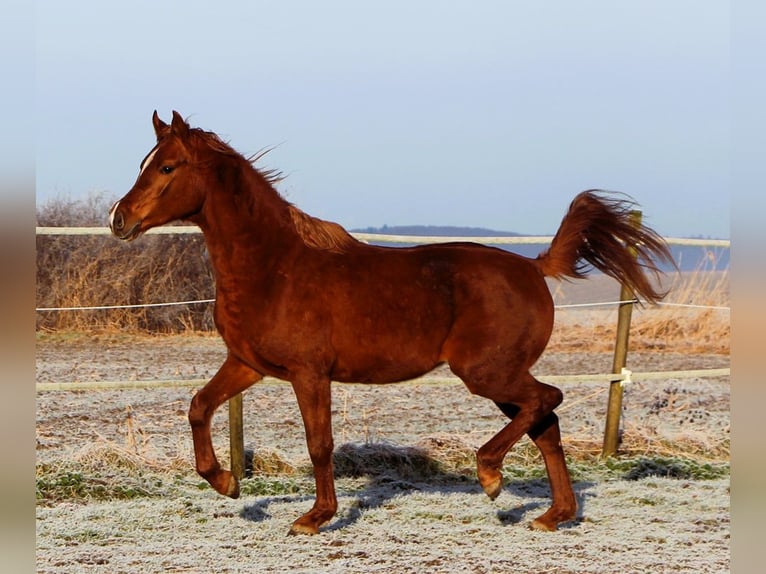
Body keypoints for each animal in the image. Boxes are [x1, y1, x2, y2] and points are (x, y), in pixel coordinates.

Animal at [109, 111, 672, 536]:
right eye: (144, 164)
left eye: (167, 166)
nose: (119, 219)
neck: (273, 266)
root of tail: (535, 267)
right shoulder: (249, 364)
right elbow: (198, 407)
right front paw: (227, 483)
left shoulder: (309, 373)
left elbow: (319, 444)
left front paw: (314, 518)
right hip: (497, 375)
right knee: (545, 422)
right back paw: (553, 515)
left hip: (487, 371)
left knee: (547, 400)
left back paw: (491, 476)